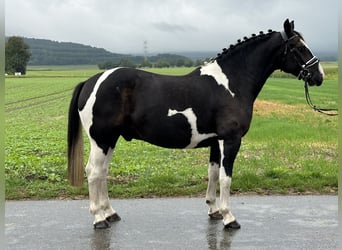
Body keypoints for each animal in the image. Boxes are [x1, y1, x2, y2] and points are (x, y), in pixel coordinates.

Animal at [67, 19, 324, 229]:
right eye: (299, 47)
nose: (319, 75)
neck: (231, 83)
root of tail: (90, 81)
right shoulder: (230, 140)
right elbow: (226, 177)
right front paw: (229, 217)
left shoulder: (215, 142)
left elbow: (213, 174)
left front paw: (214, 210)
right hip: (101, 139)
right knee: (94, 172)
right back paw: (99, 219)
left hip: (110, 139)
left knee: (102, 173)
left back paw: (110, 213)